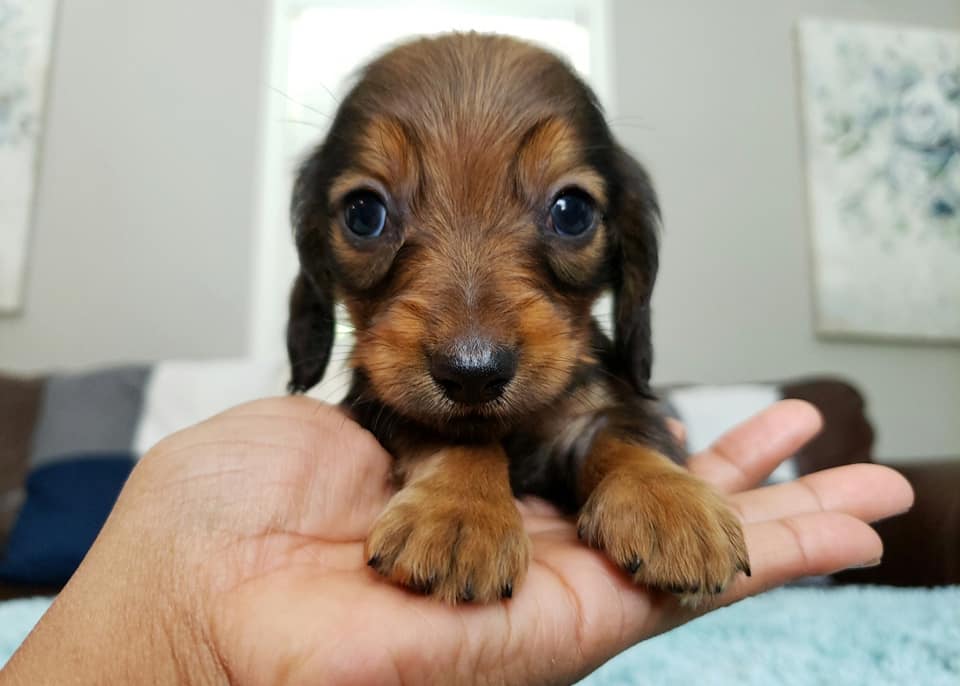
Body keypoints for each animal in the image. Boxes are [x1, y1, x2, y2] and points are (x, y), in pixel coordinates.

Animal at [284, 32, 752, 604]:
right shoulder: (380, 402)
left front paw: (670, 502)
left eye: (572, 211)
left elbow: (625, 432)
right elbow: (458, 439)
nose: (472, 372)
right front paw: (458, 514)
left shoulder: (592, 407)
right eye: (363, 213)